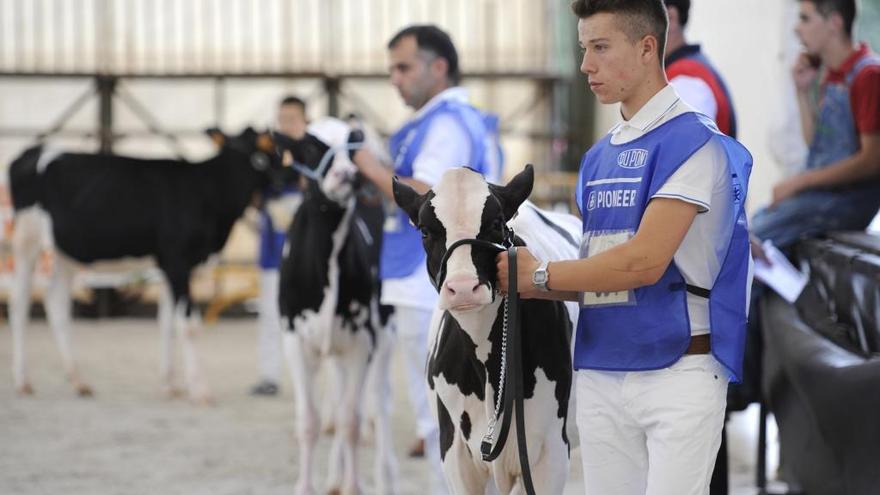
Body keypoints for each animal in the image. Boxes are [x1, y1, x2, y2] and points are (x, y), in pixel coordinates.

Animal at [8, 129, 288, 404]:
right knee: (19, 304)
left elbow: (166, 323)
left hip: (66, 252)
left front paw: (170, 386)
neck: (207, 193)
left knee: (55, 300)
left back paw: (79, 382)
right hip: (26, 240)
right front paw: (200, 391)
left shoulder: (169, 267)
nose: (285, 180)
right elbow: (189, 325)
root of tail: (33, 151)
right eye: (268, 149)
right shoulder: (178, 262)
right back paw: (22, 382)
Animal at [276, 118, 398, 494]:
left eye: (353, 150)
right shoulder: (295, 341)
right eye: (310, 147)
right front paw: (306, 487)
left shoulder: (363, 343)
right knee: (339, 395)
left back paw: (385, 478)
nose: (349, 175)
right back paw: (333, 475)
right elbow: (309, 422)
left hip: (384, 337)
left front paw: (353, 486)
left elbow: (351, 422)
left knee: (378, 405)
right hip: (332, 349)